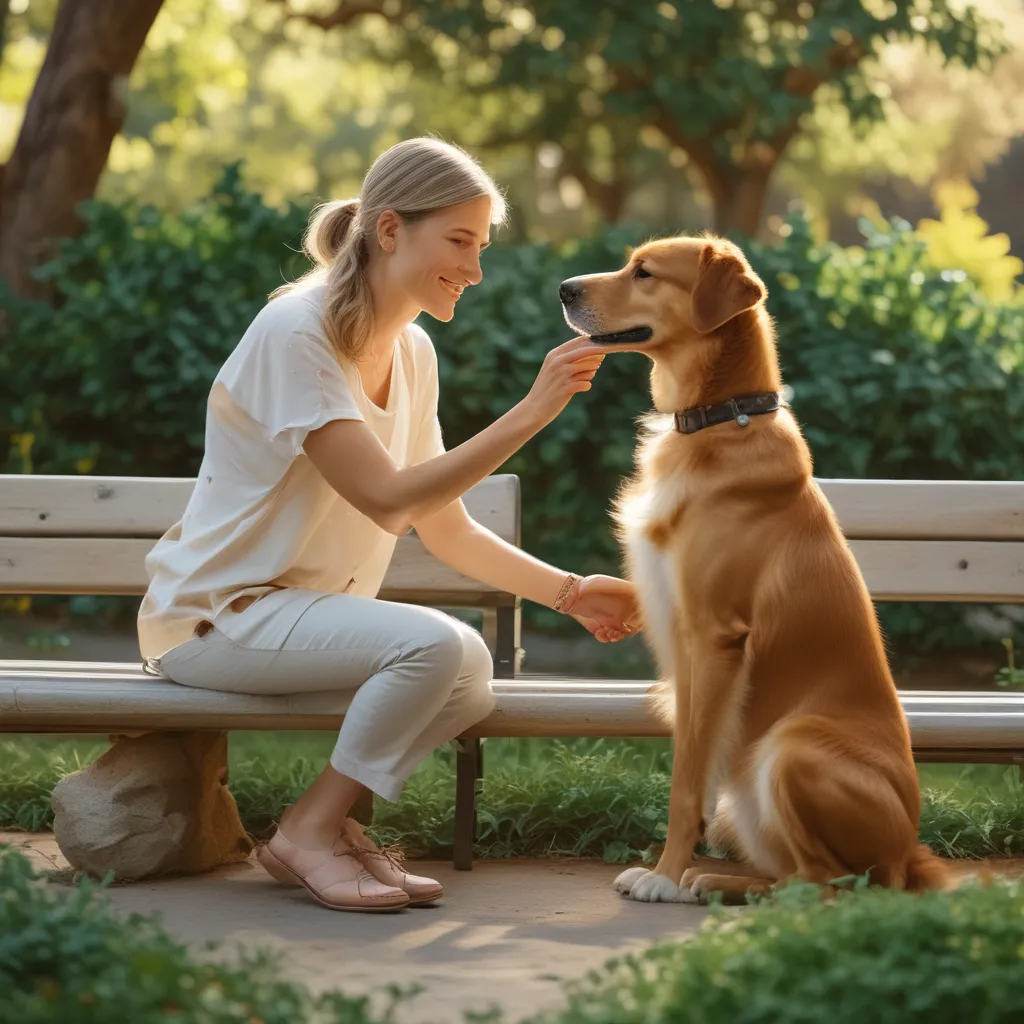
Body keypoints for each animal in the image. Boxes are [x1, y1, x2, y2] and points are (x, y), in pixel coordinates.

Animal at [561, 234, 950, 905]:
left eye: (644, 272)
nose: (564, 289)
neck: (716, 419)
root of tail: (909, 853)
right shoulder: (686, 650)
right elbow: (690, 763)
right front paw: (668, 869)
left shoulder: (715, 636)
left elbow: (687, 781)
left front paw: (663, 875)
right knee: (795, 874)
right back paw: (716, 879)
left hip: (793, 750)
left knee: (828, 885)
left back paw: (706, 880)